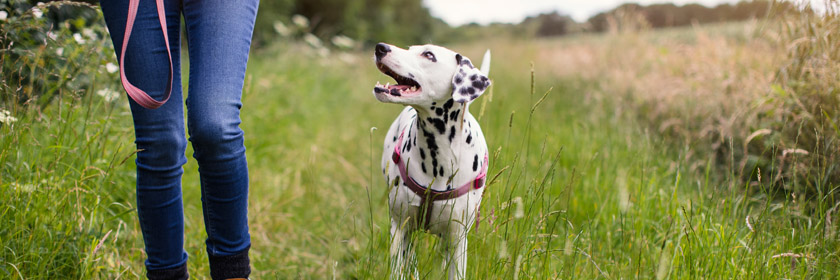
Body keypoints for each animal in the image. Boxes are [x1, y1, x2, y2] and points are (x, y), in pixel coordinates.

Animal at [372, 42, 492, 280]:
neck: (438, 159)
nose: (381, 47)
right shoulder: (400, 228)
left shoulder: (458, 241)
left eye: (429, 55)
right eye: (410, 49)